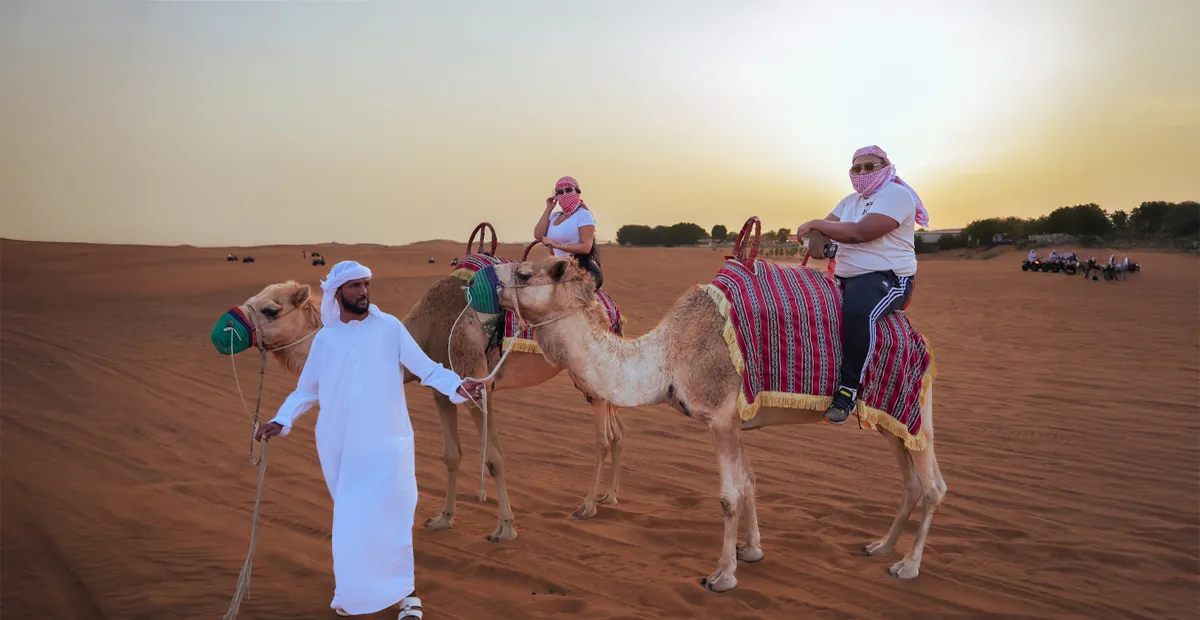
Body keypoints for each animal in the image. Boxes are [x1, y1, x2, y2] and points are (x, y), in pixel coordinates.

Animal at [217, 238, 625, 543]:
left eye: (270, 309)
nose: (224, 329)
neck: (427, 329)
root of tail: (604, 304)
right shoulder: (441, 391)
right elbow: (452, 455)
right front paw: (442, 518)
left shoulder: (476, 385)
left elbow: (493, 458)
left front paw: (505, 528)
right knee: (617, 429)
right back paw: (610, 496)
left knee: (602, 435)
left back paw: (587, 506)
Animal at [491, 251, 946, 592]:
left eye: (524, 273)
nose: (489, 282)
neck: (667, 357)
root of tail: (920, 338)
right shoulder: (736, 421)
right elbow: (748, 483)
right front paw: (752, 551)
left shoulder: (721, 418)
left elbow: (730, 496)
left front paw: (722, 576)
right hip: (893, 421)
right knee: (910, 479)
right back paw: (881, 547)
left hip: (917, 409)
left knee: (932, 486)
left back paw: (907, 566)